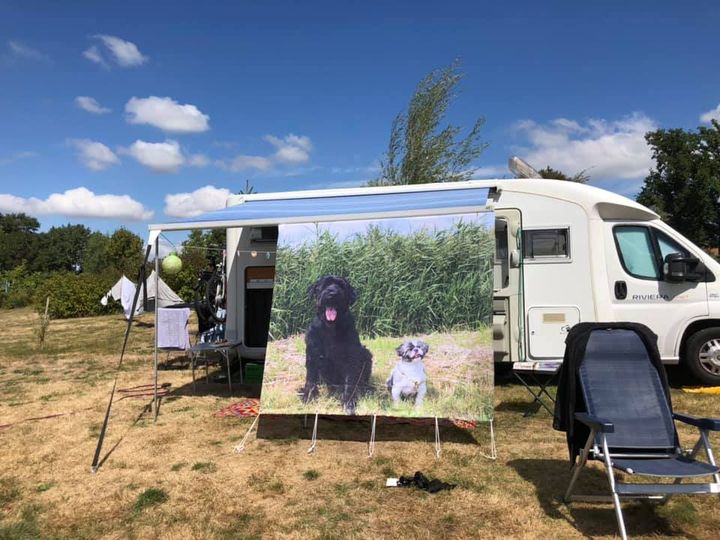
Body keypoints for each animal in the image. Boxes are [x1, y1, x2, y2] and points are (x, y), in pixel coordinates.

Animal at [302, 274, 374, 414]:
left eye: (341, 286)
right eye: (325, 284)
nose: (332, 293)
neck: (331, 327)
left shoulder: (352, 357)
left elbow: (349, 382)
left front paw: (349, 403)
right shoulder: (313, 353)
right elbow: (310, 378)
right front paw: (308, 396)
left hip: (366, 353)